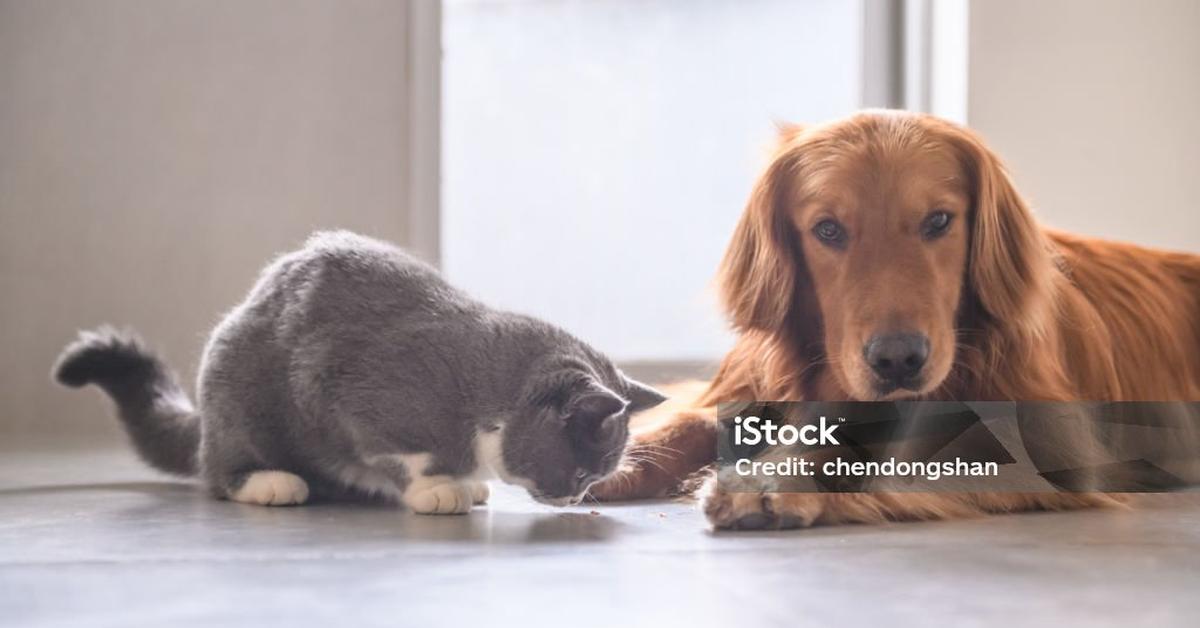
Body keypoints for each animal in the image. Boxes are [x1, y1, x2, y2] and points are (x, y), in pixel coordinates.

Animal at [54, 231, 667, 516]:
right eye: (582, 471)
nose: (573, 500)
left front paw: (466, 483)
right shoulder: (350, 395)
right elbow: (404, 453)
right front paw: (438, 489)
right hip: (235, 393)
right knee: (221, 470)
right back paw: (271, 482)